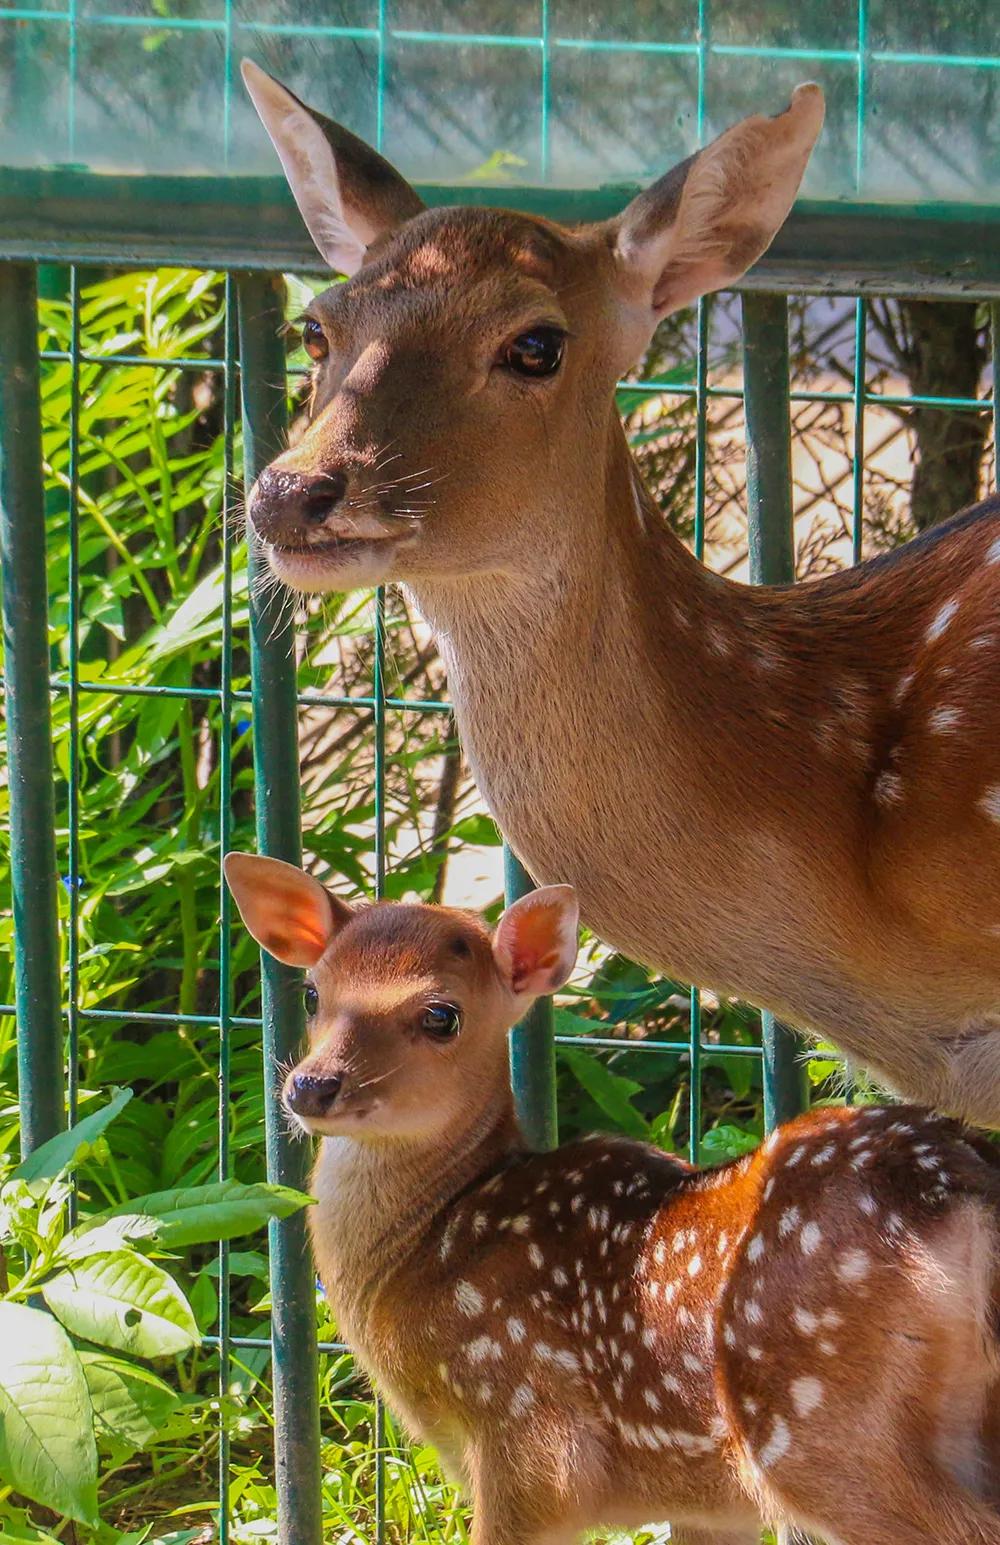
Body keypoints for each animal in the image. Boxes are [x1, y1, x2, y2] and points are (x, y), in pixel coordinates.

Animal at [222, 859, 1000, 1545]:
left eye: (441, 1014)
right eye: (314, 993)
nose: (311, 1086)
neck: (429, 1241)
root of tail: (953, 1187)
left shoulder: (527, 1440)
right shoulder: (707, 1498)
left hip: (819, 1423)